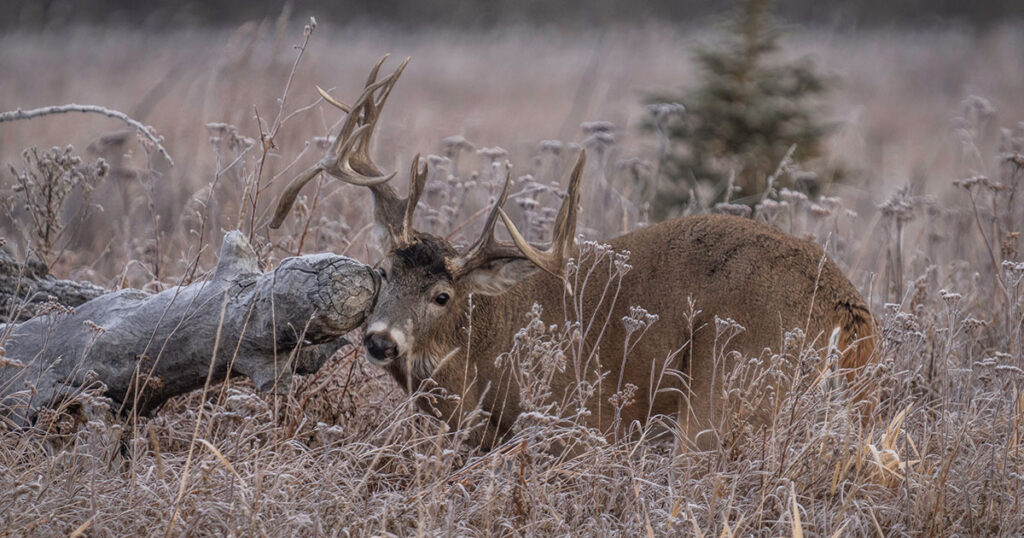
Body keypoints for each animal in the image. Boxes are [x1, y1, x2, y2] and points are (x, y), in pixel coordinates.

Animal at [270, 57, 877, 450]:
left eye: (443, 295)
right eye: (383, 271)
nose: (380, 340)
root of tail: (847, 308)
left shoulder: (578, 420)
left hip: (725, 387)